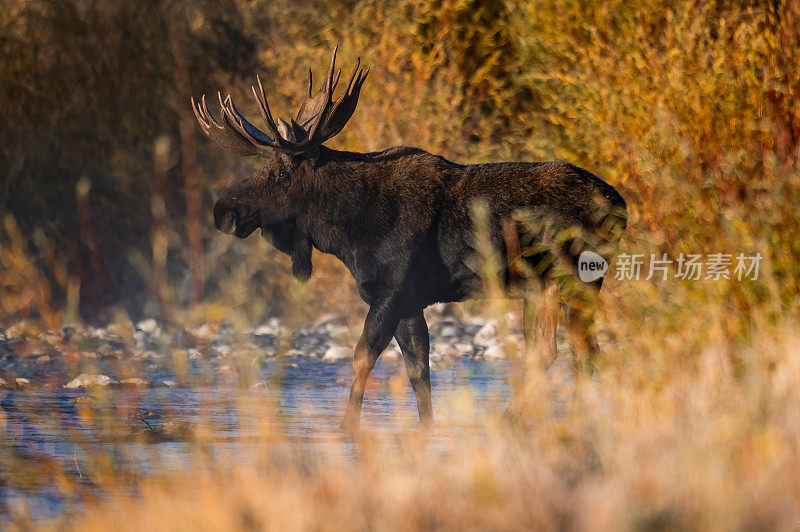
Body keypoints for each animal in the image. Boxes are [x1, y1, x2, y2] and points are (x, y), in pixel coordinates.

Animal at [192, 47, 624, 430]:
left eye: (282, 172)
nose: (223, 211)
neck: (348, 232)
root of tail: (621, 206)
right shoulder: (410, 301)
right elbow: (419, 371)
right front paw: (427, 428)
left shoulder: (391, 290)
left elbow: (362, 357)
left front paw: (346, 427)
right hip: (540, 288)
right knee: (554, 352)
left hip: (573, 279)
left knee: (579, 352)